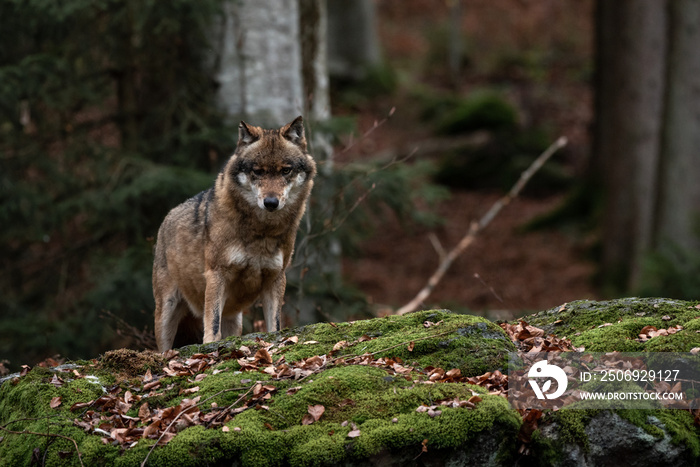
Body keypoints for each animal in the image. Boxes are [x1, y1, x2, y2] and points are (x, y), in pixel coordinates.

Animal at [154, 116, 318, 352]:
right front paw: (210, 346)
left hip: (234, 318)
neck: (261, 231)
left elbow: (275, 325)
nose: (270, 202)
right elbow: (212, 324)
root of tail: (167, 216)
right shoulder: (216, 274)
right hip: (167, 313)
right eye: (257, 171)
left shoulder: (276, 277)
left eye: (285, 171)